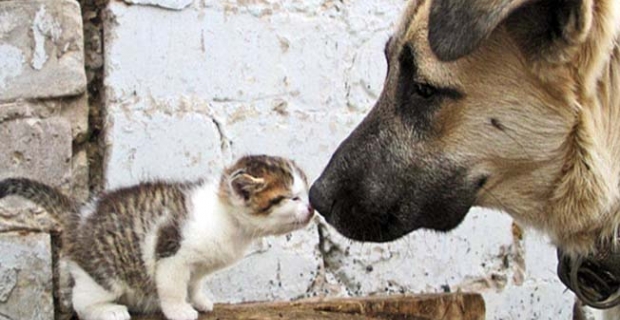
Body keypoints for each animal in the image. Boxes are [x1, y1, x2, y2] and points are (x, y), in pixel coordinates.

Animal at [0, 155, 314, 320]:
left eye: (305, 194)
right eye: (292, 198)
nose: (312, 209)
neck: (227, 218)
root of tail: (80, 215)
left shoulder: (198, 265)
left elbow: (195, 283)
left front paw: (199, 300)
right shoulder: (172, 252)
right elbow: (172, 288)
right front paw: (180, 311)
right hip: (104, 274)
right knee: (81, 300)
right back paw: (108, 311)